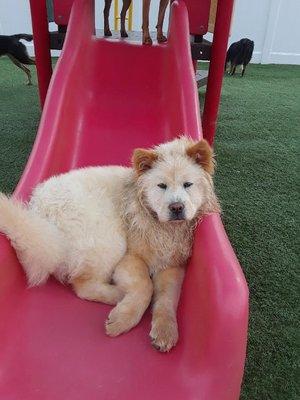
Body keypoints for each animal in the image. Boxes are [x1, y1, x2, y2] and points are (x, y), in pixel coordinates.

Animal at [0, 138, 220, 354]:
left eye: (188, 184)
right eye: (161, 186)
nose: (176, 207)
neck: (160, 226)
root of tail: (39, 212)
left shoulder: (172, 266)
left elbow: (167, 299)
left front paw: (165, 332)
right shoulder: (130, 258)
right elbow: (145, 286)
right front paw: (122, 320)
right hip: (111, 239)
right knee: (83, 286)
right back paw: (118, 294)